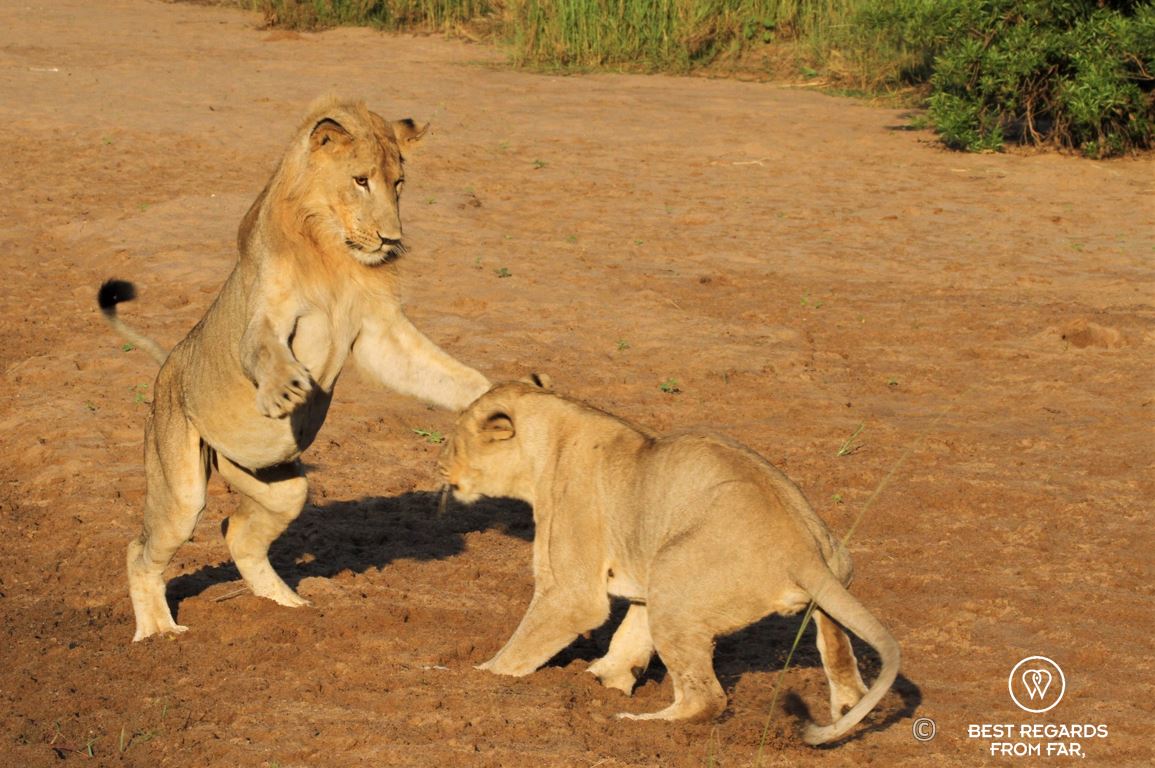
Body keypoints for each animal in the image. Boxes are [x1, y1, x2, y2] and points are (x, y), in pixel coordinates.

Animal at [98, 98, 490, 642]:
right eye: (361, 180)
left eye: (399, 184)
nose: (391, 239)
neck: (330, 249)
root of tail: (169, 363)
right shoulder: (267, 314)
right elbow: (262, 349)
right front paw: (285, 391)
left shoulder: (378, 332)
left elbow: (441, 370)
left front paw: (497, 401)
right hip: (181, 490)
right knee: (141, 550)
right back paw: (159, 634)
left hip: (281, 485)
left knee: (238, 532)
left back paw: (289, 609)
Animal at [439, 380, 900, 745]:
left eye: (455, 439)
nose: (439, 467)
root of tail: (802, 552)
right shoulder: (640, 575)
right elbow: (630, 636)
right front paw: (603, 678)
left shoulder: (571, 590)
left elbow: (524, 644)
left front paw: (478, 674)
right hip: (817, 568)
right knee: (839, 657)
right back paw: (847, 708)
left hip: (676, 581)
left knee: (707, 698)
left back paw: (638, 722)